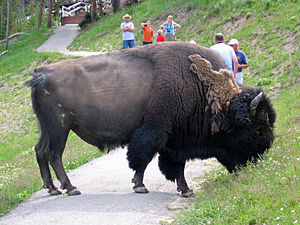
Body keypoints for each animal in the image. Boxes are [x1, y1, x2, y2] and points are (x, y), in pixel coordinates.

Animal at [27, 42, 276, 197]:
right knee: (54, 154)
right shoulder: (157, 130)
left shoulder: (176, 139)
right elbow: (144, 158)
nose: (258, 160)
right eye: (255, 127)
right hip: (60, 127)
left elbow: (174, 164)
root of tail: (41, 72)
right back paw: (70, 188)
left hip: (48, 128)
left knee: (40, 151)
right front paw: (140, 186)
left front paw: (185, 190)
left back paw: (52, 188)